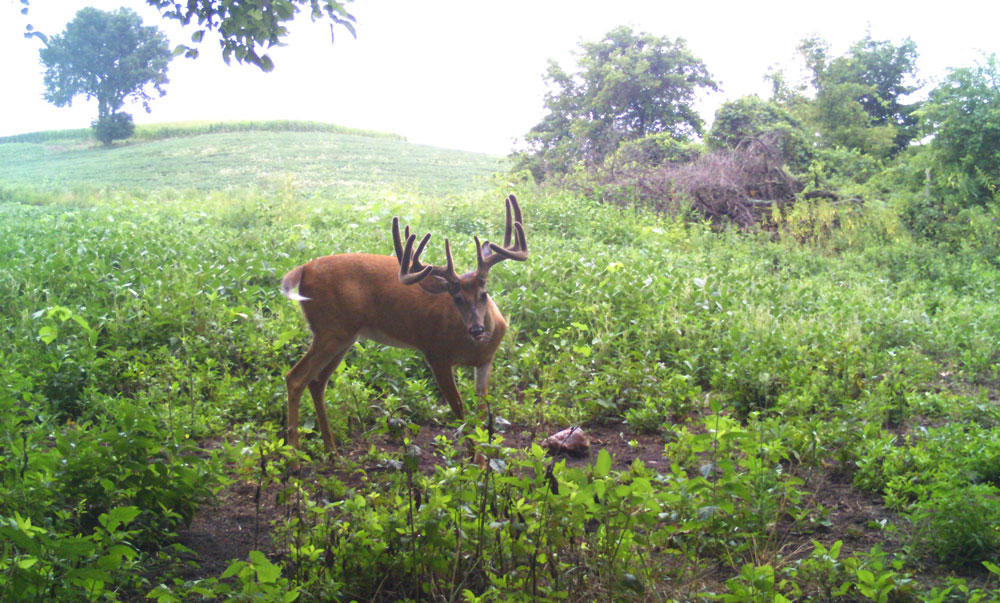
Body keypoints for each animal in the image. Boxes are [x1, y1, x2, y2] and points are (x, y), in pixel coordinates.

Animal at [280, 195, 528, 452]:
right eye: (457, 298)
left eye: (484, 293)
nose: (477, 329)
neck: (472, 347)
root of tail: (303, 269)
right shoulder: (436, 355)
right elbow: (461, 413)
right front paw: (472, 459)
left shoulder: (486, 361)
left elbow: (480, 415)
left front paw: (483, 458)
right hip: (330, 329)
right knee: (295, 377)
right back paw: (293, 452)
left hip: (344, 335)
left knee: (317, 382)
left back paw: (332, 451)